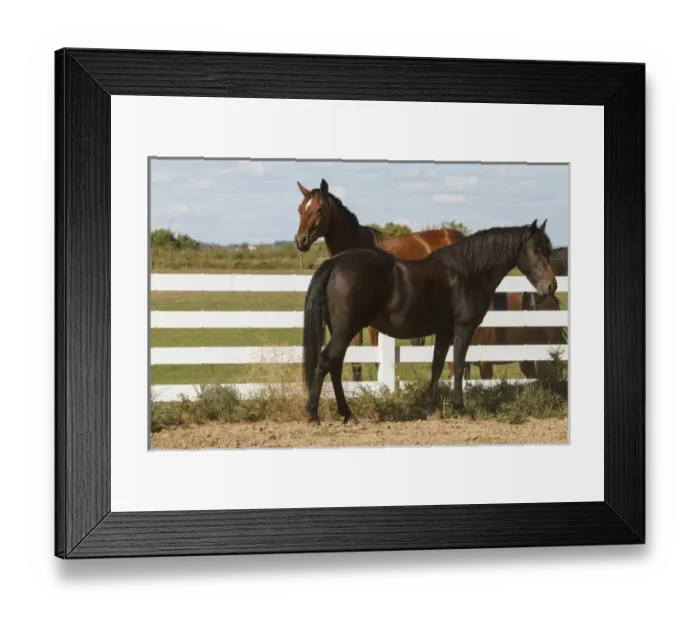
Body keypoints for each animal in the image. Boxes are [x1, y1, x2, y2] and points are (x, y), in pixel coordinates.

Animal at [301, 219, 557, 426]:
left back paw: (347, 414)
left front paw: (431, 408)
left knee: (334, 366)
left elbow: (437, 366)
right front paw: (461, 409)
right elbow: (459, 366)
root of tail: (334, 264)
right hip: (345, 331)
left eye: (548, 249)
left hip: (341, 332)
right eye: (536, 249)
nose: (551, 286)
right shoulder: (463, 329)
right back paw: (314, 415)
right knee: (326, 362)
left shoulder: (444, 332)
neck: (466, 273)